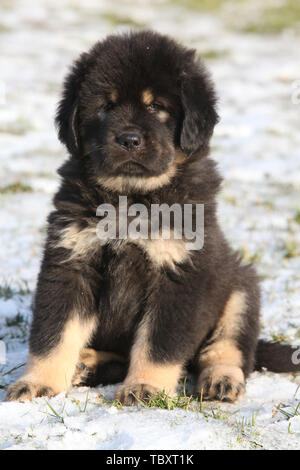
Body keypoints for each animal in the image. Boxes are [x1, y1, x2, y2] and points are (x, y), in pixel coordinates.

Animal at [5, 30, 298, 404]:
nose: (129, 139)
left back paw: (221, 380)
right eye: (106, 106)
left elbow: (159, 343)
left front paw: (145, 387)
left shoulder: (179, 273)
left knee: (229, 349)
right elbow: (54, 335)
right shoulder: (71, 262)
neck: (131, 198)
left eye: (156, 107)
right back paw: (88, 363)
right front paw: (38, 383)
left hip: (240, 287)